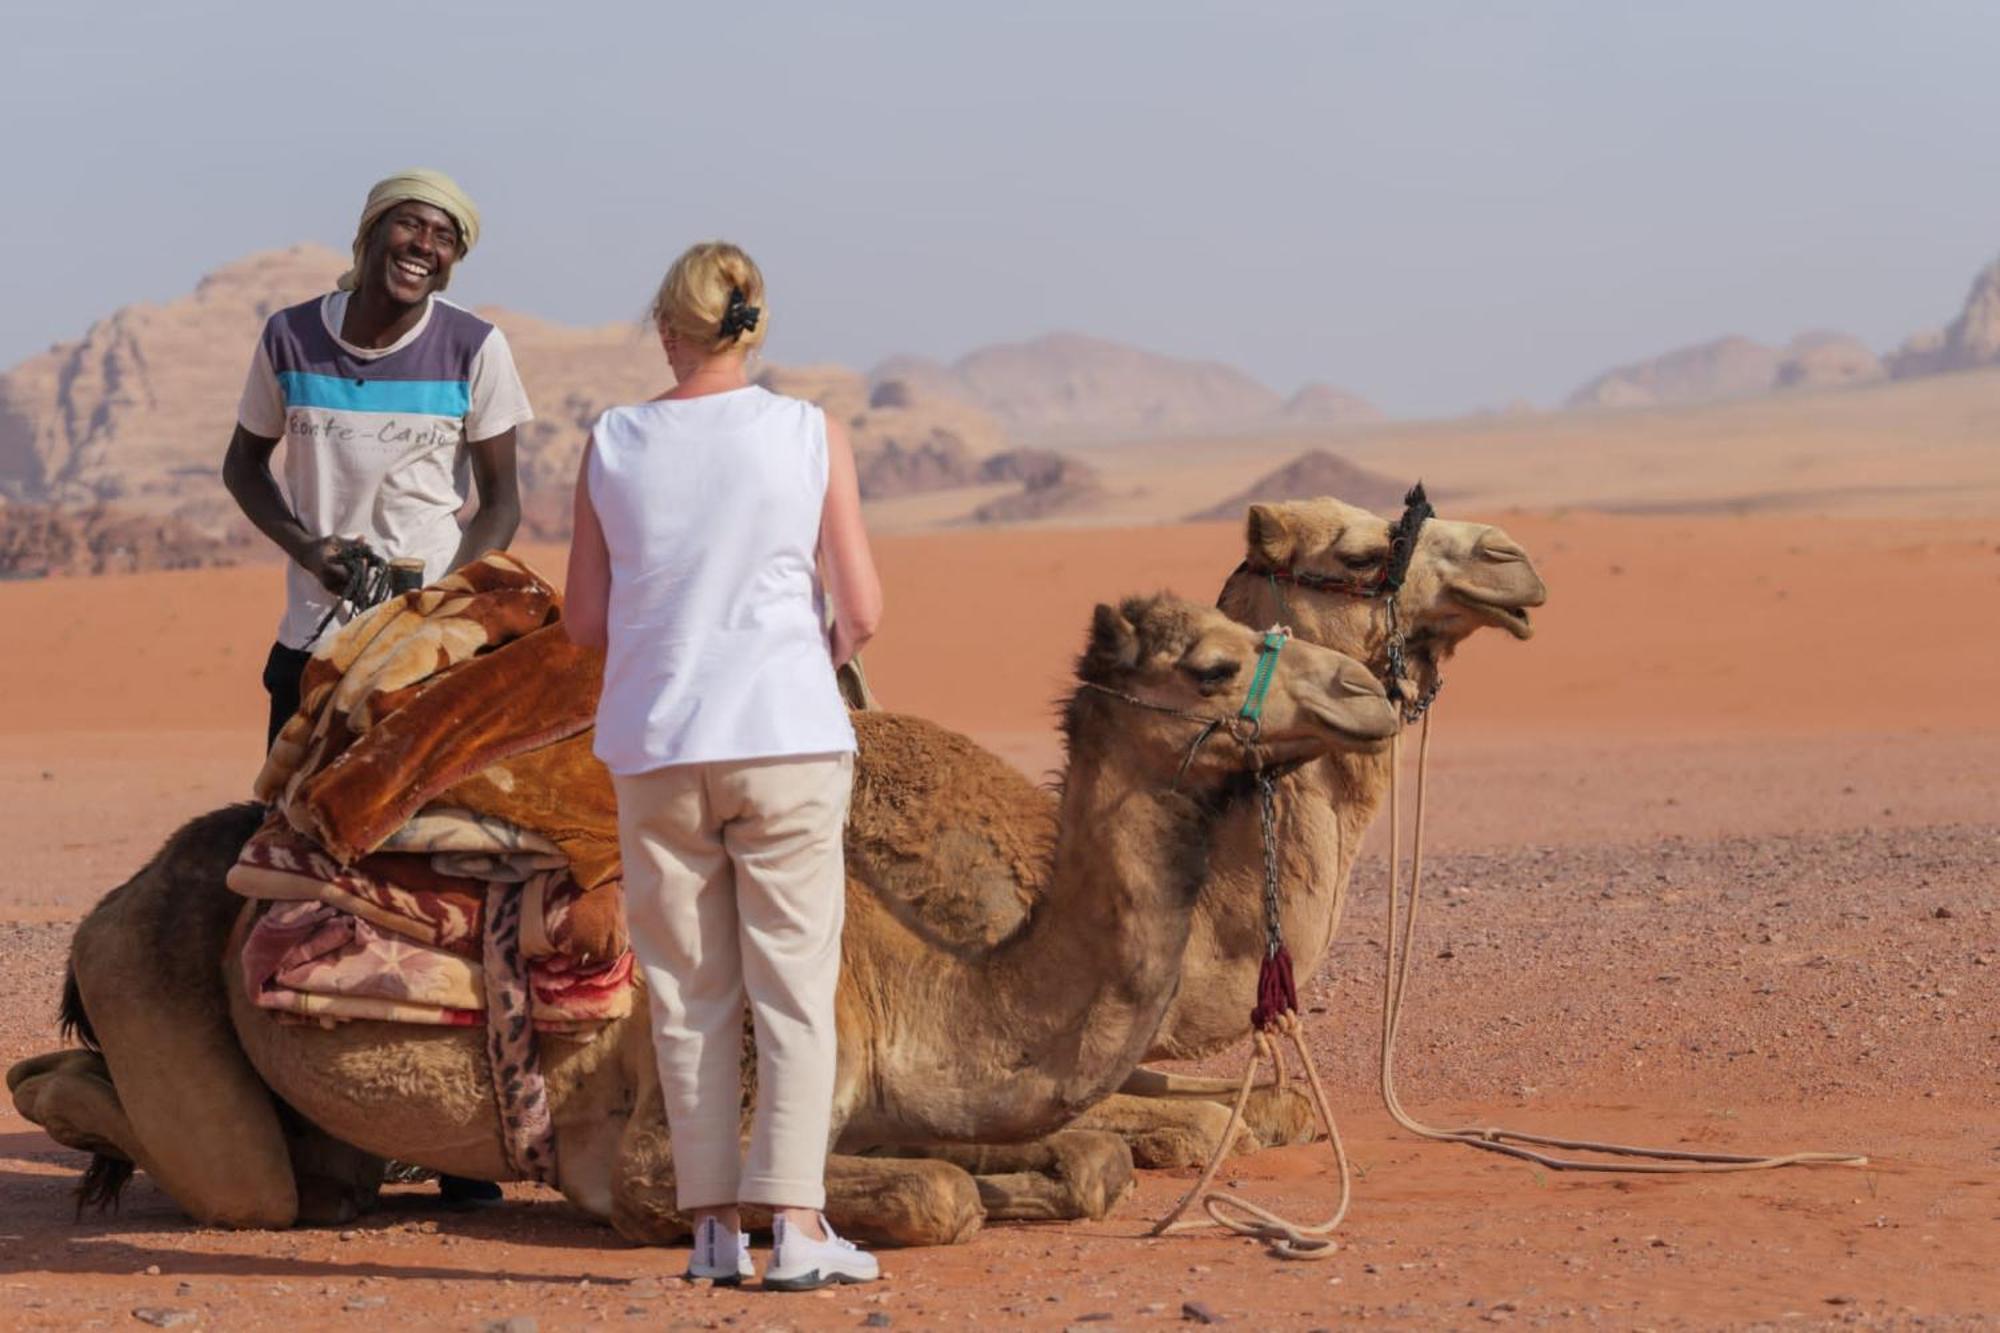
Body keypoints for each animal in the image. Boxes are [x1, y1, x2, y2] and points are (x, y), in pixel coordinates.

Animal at [15, 596, 1400, 1240]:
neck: (904, 975)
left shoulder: (895, 1092)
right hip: (147, 986)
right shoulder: (680, 1127)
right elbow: (935, 1197)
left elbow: (1073, 1161)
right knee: (201, 1160)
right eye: (1212, 665)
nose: (1370, 689)